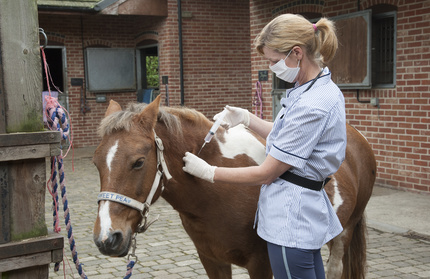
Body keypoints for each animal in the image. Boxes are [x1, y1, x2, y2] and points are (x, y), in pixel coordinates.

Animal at [92, 95, 374, 278]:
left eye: (138, 162)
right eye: (96, 163)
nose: (107, 238)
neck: (214, 194)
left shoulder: (261, 264)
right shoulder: (211, 260)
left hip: (344, 234)